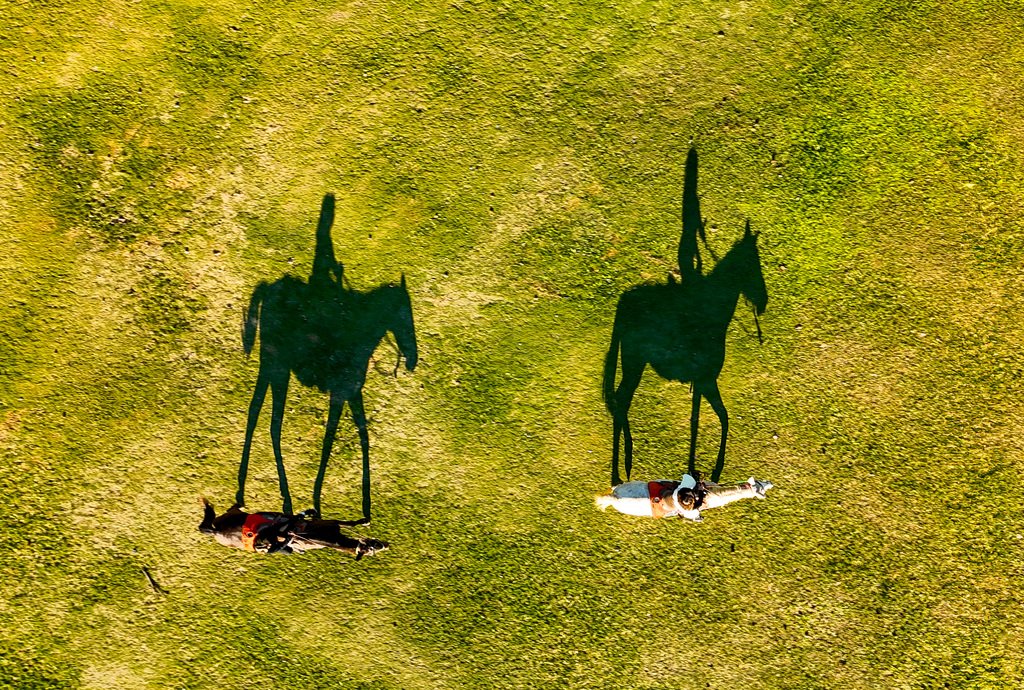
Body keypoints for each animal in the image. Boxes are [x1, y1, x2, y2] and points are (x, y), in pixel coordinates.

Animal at [199, 499, 388, 559]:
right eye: (370, 549)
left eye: (375, 544)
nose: (386, 545)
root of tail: (217, 531)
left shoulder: (332, 524)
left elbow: (348, 523)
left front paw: (364, 521)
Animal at [237, 271, 418, 518]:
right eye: (405, 318)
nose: (412, 362)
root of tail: (271, 290)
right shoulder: (340, 395)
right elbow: (329, 440)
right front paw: (319, 503)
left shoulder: (352, 393)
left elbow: (363, 436)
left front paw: (366, 505)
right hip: (275, 365)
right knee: (270, 423)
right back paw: (279, 499)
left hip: (273, 366)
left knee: (258, 415)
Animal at [603, 222, 767, 486]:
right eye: (753, 265)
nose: (763, 303)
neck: (713, 317)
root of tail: (626, 303)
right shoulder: (707, 381)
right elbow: (723, 417)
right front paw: (716, 470)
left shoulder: (701, 384)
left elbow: (696, 421)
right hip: (633, 362)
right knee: (621, 399)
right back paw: (619, 472)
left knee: (621, 401)